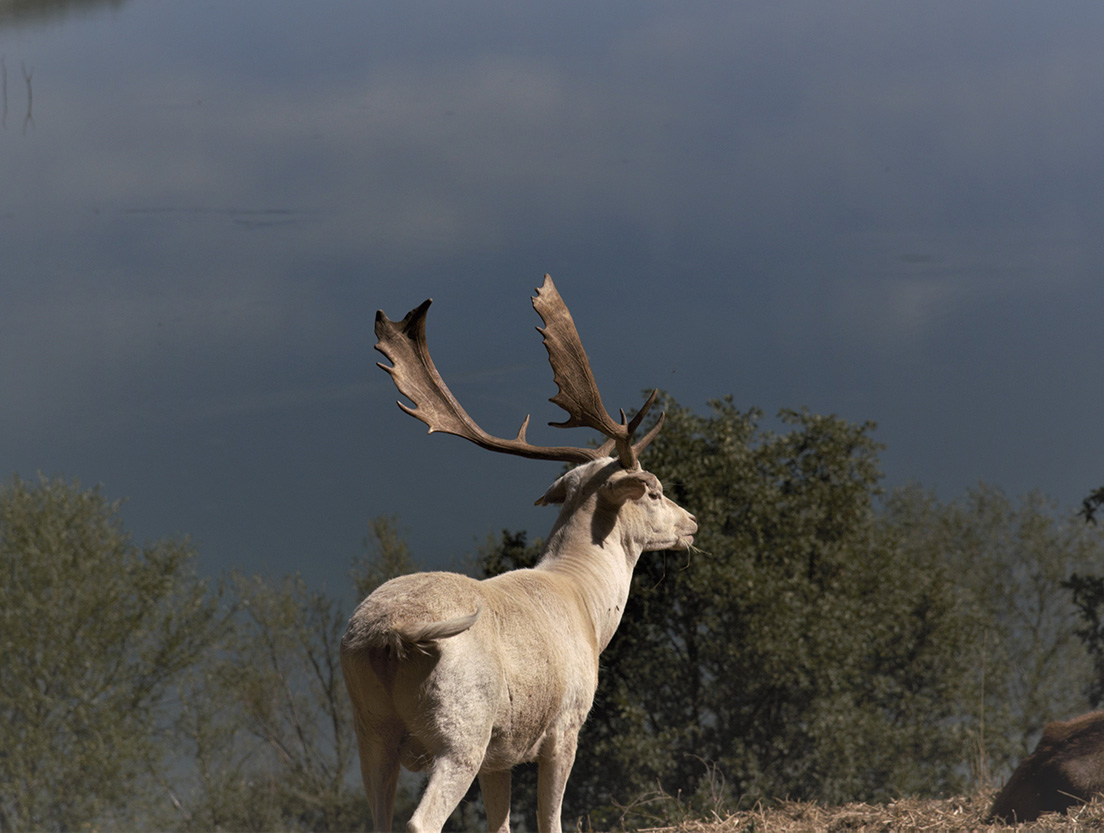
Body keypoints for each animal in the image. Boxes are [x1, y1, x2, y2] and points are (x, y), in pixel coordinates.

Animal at [340, 278, 693, 833]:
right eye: (654, 491)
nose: (692, 523)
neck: (588, 609)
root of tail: (389, 637)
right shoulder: (566, 724)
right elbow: (551, 820)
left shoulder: (500, 753)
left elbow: (501, 825)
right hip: (460, 728)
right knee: (422, 820)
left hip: (369, 727)